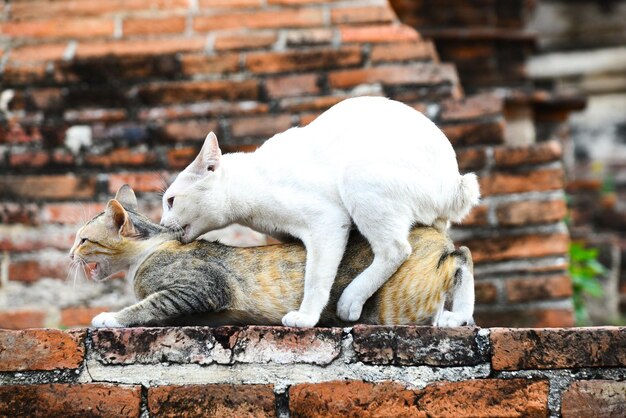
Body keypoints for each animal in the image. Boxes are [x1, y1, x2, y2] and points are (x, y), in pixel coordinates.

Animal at [68, 185, 472, 326]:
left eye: (83, 240)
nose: (70, 253)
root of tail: (429, 227)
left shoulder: (200, 287)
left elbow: (145, 306)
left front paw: (109, 317)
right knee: (462, 255)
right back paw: (455, 317)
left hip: (400, 299)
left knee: (459, 258)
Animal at [160, 96, 478, 328]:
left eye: (171, 201)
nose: (162, 223)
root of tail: (456, 181)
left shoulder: (328, 221)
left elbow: (315, 278)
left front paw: (306, 317)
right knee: (456, 257)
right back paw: (455, 318)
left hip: (358, 176)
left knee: (396, 249)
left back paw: (351, 301)